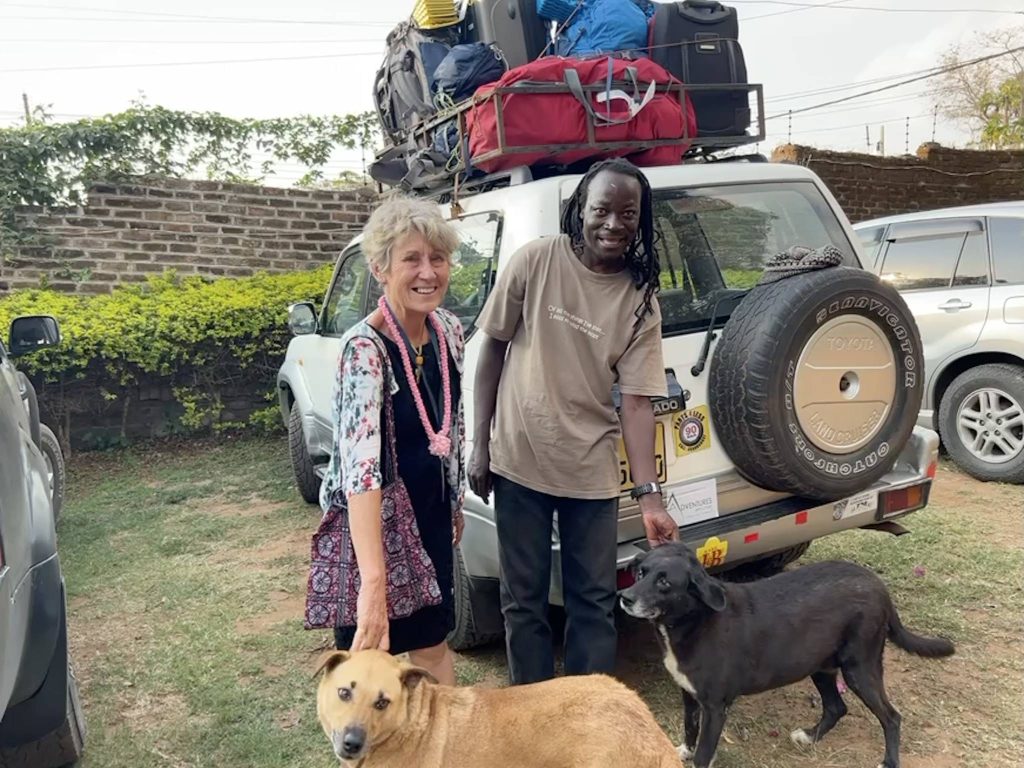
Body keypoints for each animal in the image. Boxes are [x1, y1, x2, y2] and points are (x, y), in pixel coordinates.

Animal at [614, 544, 958, 765]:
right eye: (640, 572)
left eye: (664, 582)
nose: (624, 597)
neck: (694, 619)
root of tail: (877, 584)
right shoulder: (689, 694)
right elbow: (689, 727)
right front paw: (683, 750)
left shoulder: (715, 708)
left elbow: (703, 753)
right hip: (821, 667)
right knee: (837, 707)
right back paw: (810, 736)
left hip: (859, 668)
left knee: (892, 717)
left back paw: (888, 761)